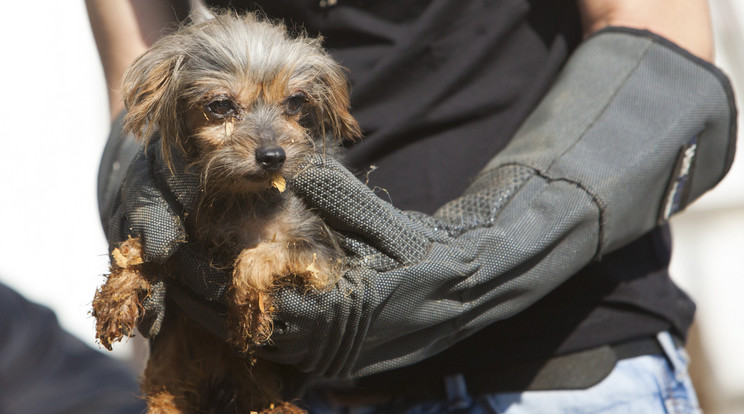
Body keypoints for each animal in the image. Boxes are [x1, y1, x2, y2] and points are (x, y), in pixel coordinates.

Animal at [93, 11, 360, 412]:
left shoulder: (323, 254)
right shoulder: (174, 228)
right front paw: (118, 291)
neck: (239, 198)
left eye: (295, 103)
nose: (273, 156)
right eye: (220, 106)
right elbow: (140, 246)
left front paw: (248, 309)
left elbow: (258, 257)